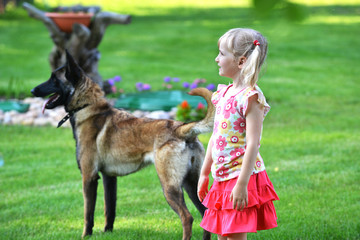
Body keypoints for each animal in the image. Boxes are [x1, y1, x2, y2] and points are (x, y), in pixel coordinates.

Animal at [31, 51, 214, 240]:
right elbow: (109, 209)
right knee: (204, 213)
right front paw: (107, 232)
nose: (32, 90)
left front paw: (86, 235)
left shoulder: (89, 177)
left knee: (187, 217)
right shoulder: (109, 178)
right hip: (192, 184)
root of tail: (181, 129)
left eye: (54, 79)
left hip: (170, 187)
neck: (87, 107)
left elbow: (88, 213)